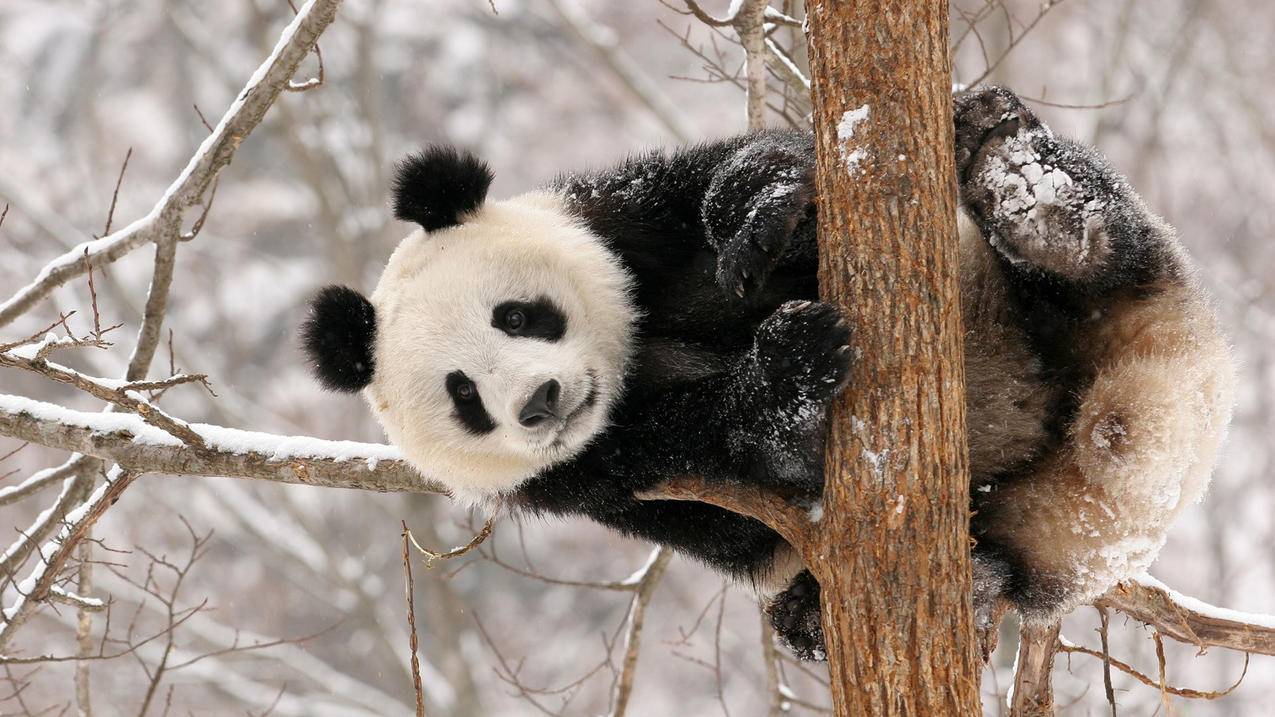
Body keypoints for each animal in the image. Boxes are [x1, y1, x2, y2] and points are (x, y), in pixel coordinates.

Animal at [300, 86, 1234, 658]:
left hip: (1092, 301)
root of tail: (1135, 430)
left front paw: (760, 213)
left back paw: (1027, 190)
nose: (540, 400)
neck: (631, 362)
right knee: (1006, 562)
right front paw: (790, 365)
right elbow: (740, 484)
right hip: (1033, 517)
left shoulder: (622, 222)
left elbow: (739, 181)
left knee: (1105, 251)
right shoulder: (590, 474)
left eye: (519, 315)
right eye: (463, 395)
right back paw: (916, 591)